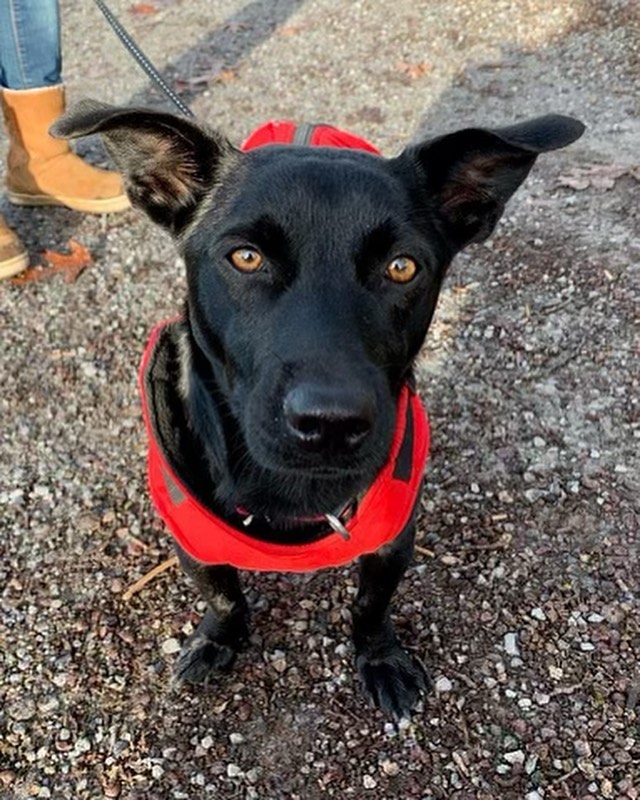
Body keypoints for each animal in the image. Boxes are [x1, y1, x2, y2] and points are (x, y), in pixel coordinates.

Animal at [52, 101, 584, 720]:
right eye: (246, 257)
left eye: (402, 267)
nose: (331, 423)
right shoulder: (193, 542)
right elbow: (224, 597)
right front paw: (217, 641)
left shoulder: (392, 540)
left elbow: (371, 606)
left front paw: (380, 659)